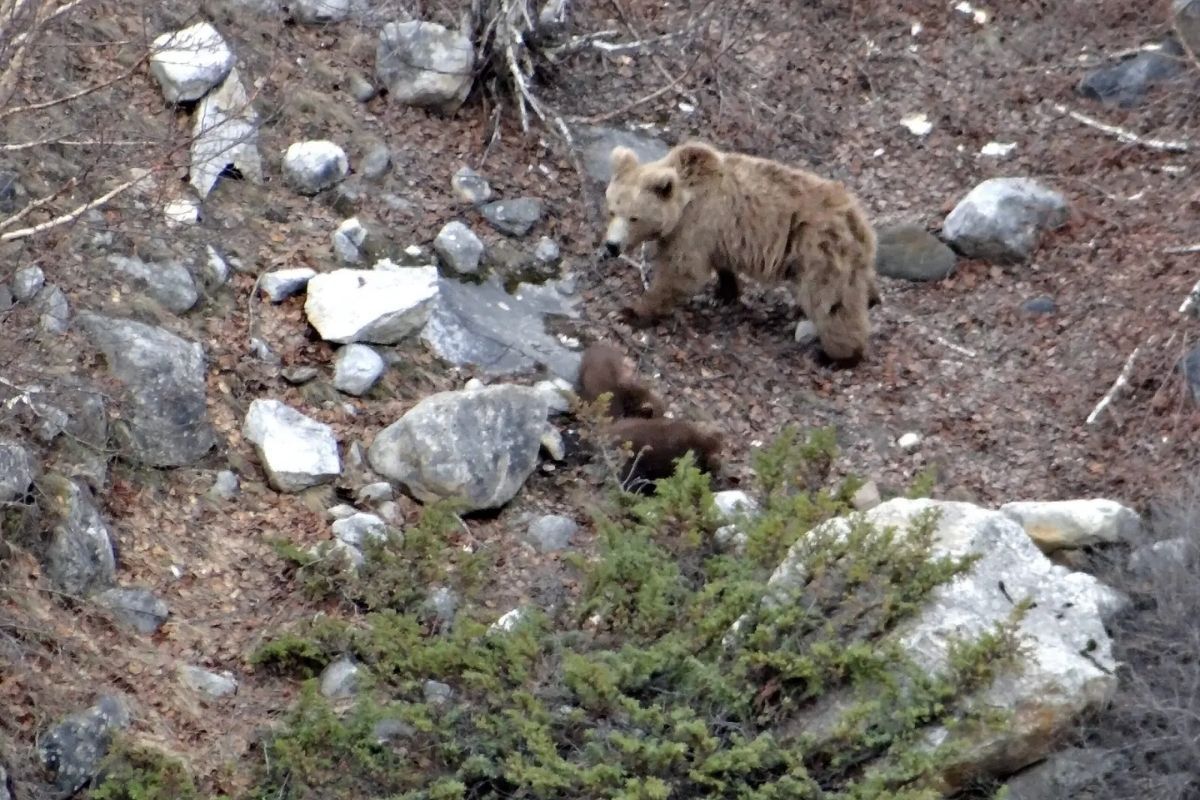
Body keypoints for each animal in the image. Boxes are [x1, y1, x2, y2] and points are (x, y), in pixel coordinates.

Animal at [602, 140, 880, 363]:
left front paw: (629, 312)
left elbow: (681, 273)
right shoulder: (714, 235)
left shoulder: (696, 226)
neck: (684, 201)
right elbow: (720, 265)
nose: (611, 246)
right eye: (612, 210)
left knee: (831, 302)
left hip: (820, 249)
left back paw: (838, 356)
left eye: (634, 217)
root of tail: (857, 218)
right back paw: (871, 298)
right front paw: (724, 292)